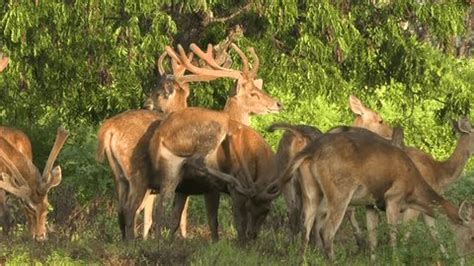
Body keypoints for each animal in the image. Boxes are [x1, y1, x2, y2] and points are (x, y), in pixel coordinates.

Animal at [276, 125, 472, 262]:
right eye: (472, 235)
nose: (466, 258)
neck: (414, 188)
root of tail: (310, 151)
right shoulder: (393, 197)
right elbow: (394, 234)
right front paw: (396, 259)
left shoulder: (371, 203)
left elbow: (373, 236)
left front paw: (374, 259)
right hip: (340, 191)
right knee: (327, 230)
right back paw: (333, 259)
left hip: (310, 191)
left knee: (305, 227)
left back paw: (303, 259)